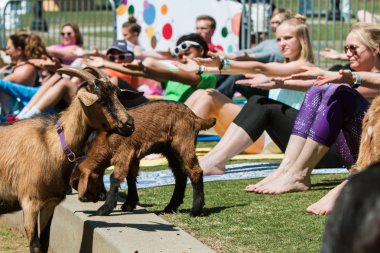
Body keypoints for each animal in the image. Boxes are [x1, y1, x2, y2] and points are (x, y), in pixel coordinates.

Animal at [0, 66, 140, 252]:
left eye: (118, 95)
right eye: (100, 99)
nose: (129, 124)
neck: (52, 144)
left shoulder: (49, 203)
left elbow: (45, 242)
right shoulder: (30, 202)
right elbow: (35, 244)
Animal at [70, 101, 215, 217]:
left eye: (77, 182)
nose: (82, 199)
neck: (106, 138)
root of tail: (195, 117)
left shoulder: (124, 152)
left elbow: (115, 178)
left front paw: (105, 209)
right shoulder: (133, 157)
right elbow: (131, 178)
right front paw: (129, 204)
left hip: (184, 142)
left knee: (195, 171)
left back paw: (195, 210)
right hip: (171, 150)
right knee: (180, 175)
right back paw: (171, 207)